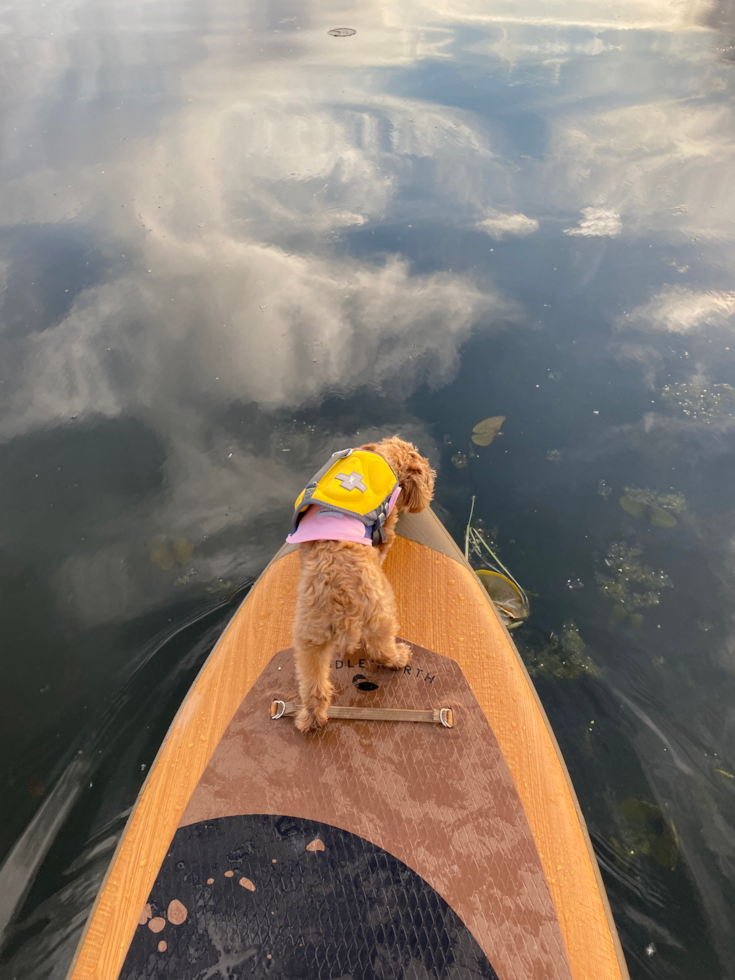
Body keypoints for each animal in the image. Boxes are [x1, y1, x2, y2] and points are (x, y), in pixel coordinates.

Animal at [288, 438, 436, 736]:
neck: (383, 456)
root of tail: (342, 600)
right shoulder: (386, 524)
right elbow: (385, 540)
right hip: (382, 615)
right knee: (381, 651)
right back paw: (399, 657)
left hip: (309, 641)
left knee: (314, 688)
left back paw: (310, 719)